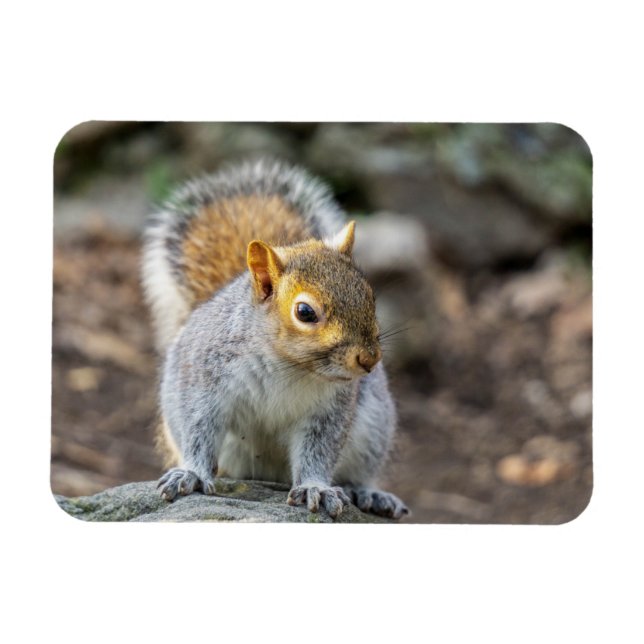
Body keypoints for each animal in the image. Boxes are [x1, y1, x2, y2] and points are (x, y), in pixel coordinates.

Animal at [141, 158, 408, 520]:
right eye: (305, 312)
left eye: (369, 296)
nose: (369, 359)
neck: (289, 364)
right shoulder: (202, 379)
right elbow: (198, 428)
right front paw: (193, 473)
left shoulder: (330, 409)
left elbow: (319, 450)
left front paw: (315, 487)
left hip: (374, 428)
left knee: (358, 472)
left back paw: (369, 493)